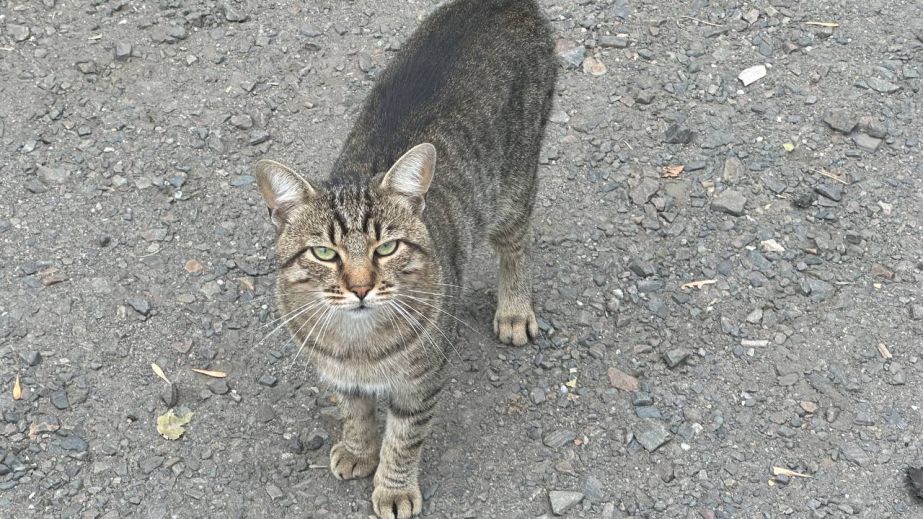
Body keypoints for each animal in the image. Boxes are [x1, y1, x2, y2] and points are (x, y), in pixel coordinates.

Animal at [253, 2, 556, 516]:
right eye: (324, 253)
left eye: (387, 248)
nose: (359, 287)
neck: (358, 345)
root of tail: (501, 4)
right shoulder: (341, 377)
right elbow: (355, 415)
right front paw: (358, 450)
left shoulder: (421, 383)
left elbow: (404, 439)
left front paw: (393, 488)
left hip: (513, 190)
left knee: (518, 245)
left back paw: (514, 309)